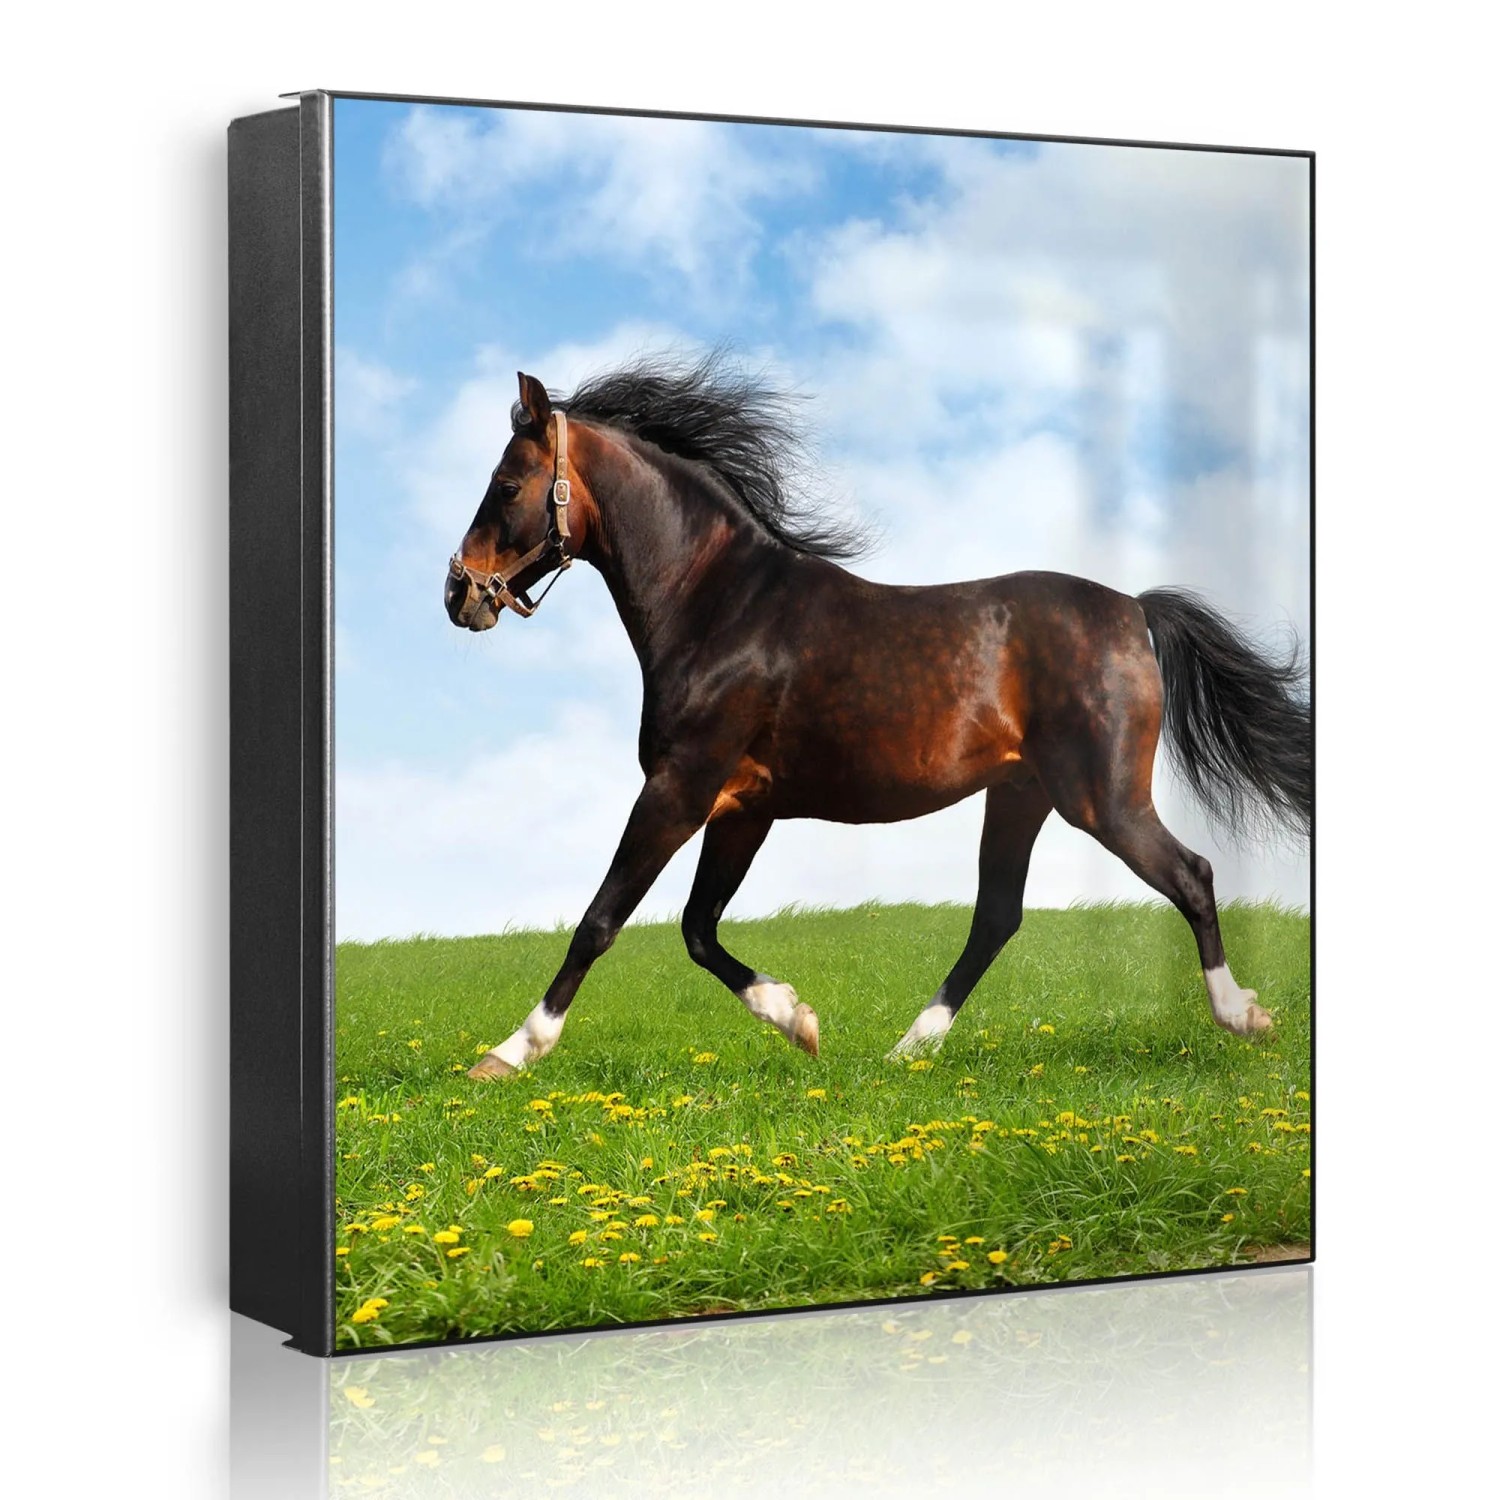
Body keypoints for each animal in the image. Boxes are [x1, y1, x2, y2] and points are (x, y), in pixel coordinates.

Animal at [443, 354, 1311, 1080]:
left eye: (507, 485)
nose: (459, 594)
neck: (720, 604)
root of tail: (1134, 608)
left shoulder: (679, 789)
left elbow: (602, 919)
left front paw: (509, 1054)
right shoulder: (742, 808)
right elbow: (697, 927)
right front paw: (799, 1020)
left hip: (1102, 799)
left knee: (1190, 877)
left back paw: (1243, 1016)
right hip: (1022, 795)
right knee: (997, 917)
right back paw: (907, 1049)